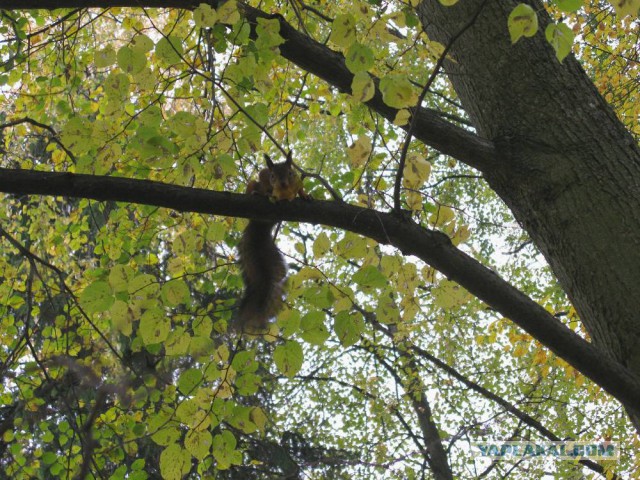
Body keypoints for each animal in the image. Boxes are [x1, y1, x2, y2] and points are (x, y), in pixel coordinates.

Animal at [236, 152, 308, 332]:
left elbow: (300, 188)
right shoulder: (265, 175)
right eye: (273, 176)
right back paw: (256, 194)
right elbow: (263, 176)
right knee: (253, 185)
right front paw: (268, 193)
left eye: (290, 173)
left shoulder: (297, 181)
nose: (282, 184)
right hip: (252, 185)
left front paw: (304, 194)